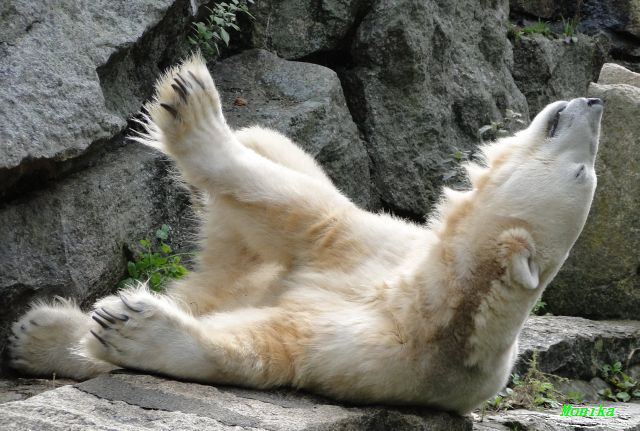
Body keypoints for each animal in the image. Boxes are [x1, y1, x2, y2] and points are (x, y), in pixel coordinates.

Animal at [8, 53, 603, 414]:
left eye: (583, 174)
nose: (595, 102)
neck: (441, 293)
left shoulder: (380, 354)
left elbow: (266, 346)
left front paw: (129, 326)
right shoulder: (389, 248)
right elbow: (312, 219)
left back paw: (39, 334)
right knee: (273, 160)